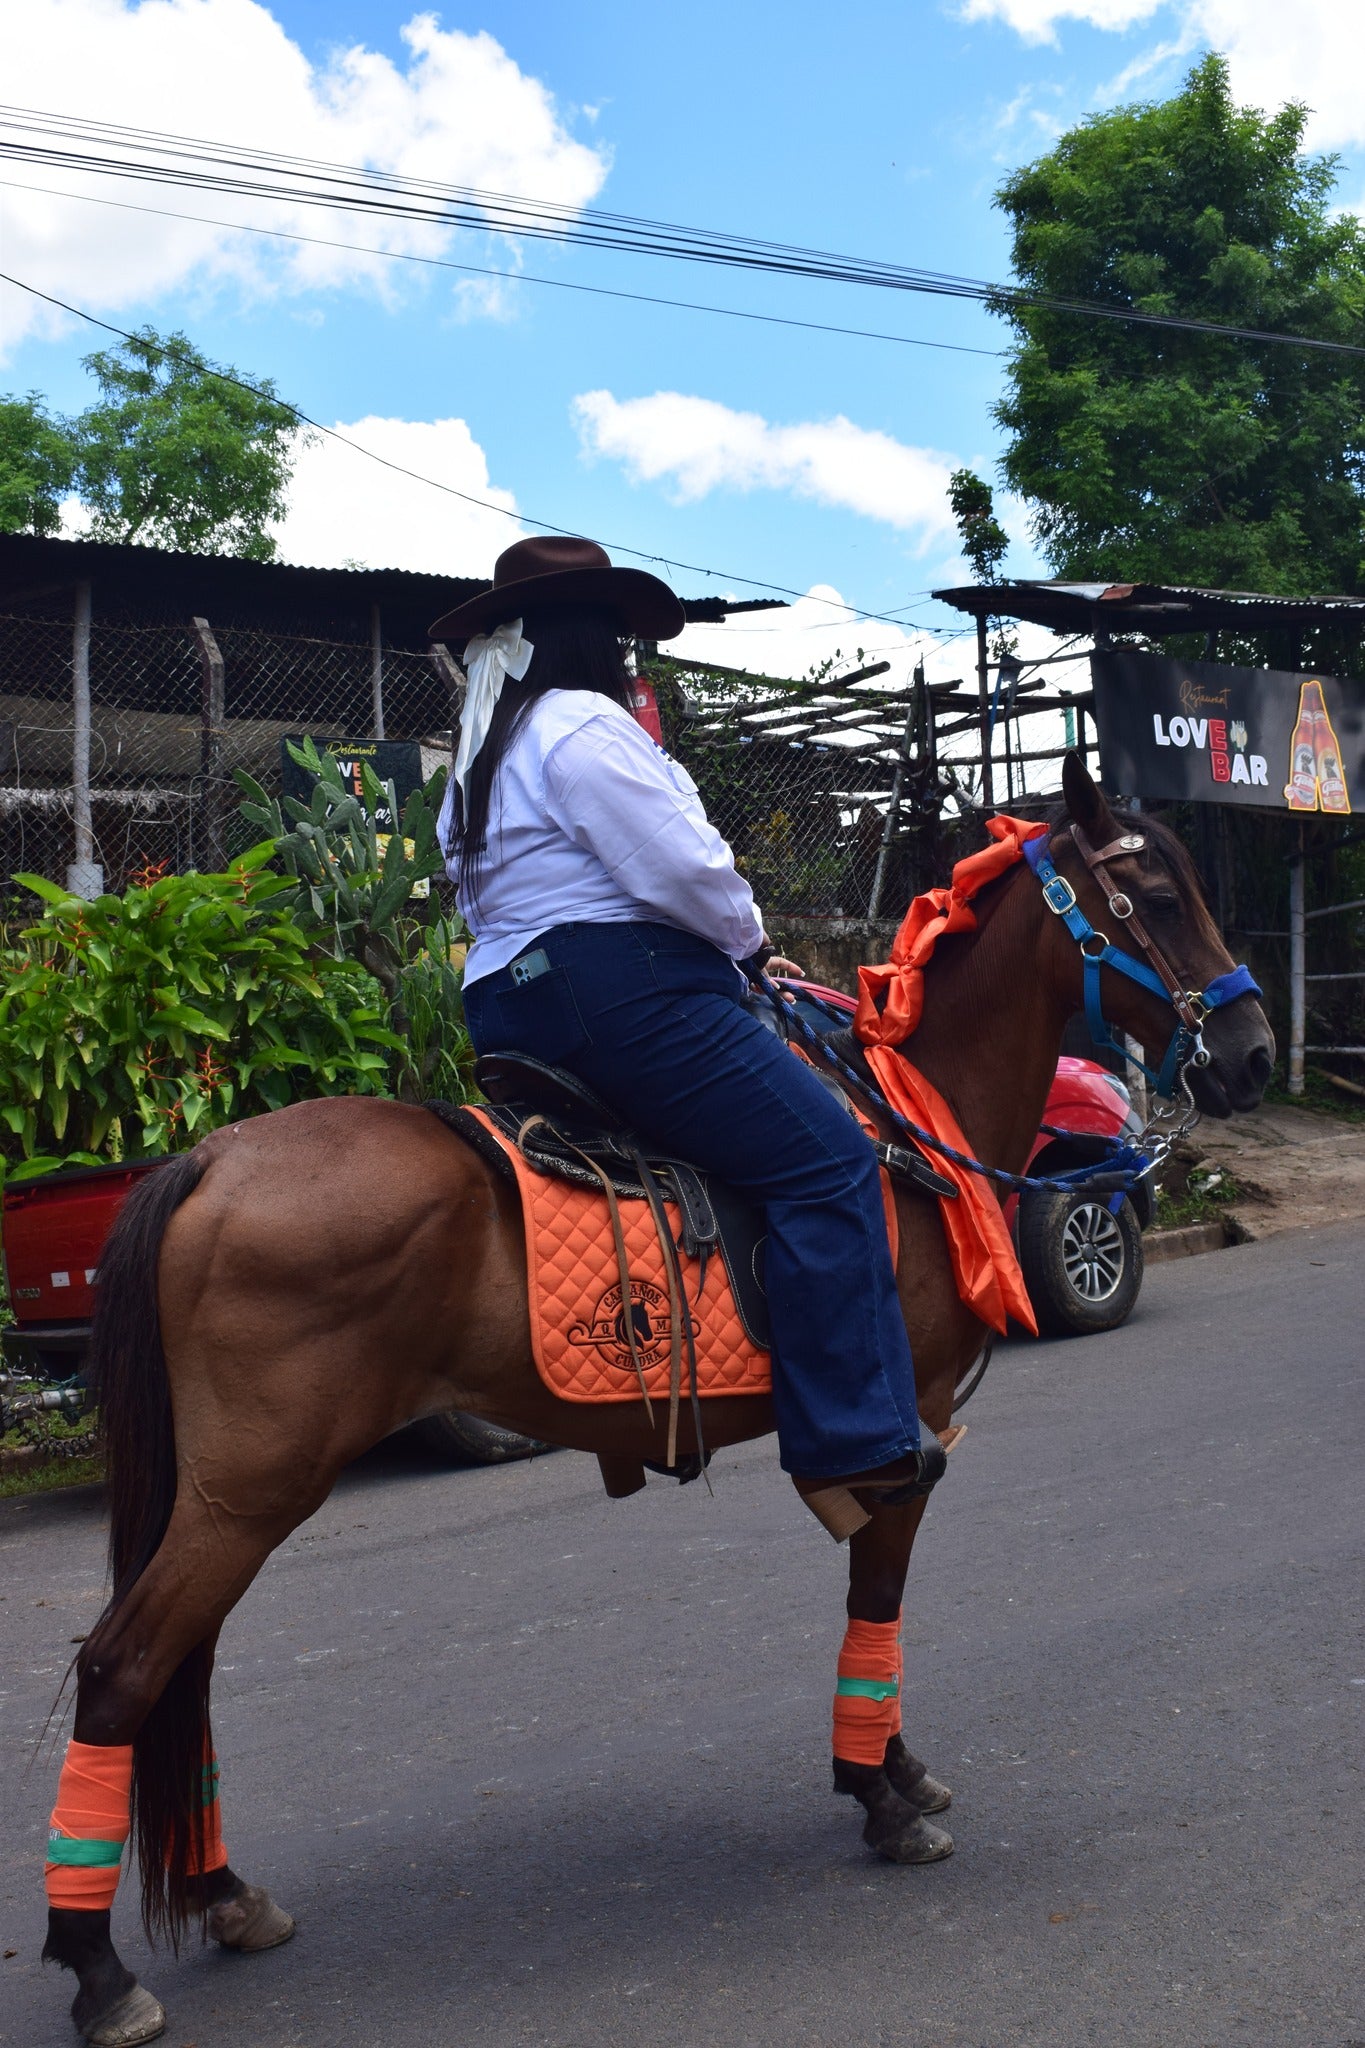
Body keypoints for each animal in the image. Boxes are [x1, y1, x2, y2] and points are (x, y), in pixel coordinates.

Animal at [45, 761, 1285, 2039]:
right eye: (1156, 895)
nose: (1251, 1051)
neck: (911, 1122)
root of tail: (207, 1160)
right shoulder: (907, 1419)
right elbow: (878, 1591)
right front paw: (882, 1793)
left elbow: (873, 1594)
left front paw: (888, 1769)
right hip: (248, 1491)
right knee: (126, 1669)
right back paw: (101, 1968)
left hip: (222, 1495)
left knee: (180, 1670)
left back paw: (222, 1892)